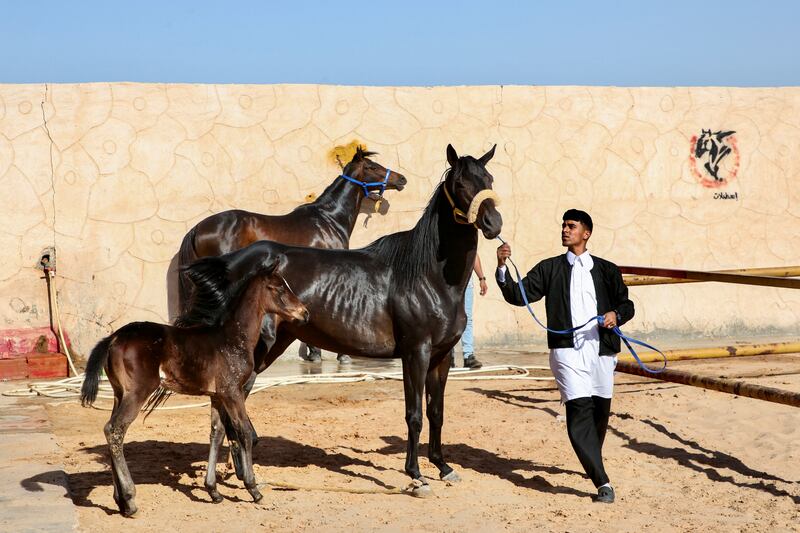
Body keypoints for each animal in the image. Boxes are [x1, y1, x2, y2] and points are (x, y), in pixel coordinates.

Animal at [80, 255, 306, 516]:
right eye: (279, 288)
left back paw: (120, 501)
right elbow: (244, 432)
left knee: (112, 431)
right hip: (137, 393)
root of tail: (113, 338)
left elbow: (217, 433)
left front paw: (214, 491)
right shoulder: (233, 392)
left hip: (120, 393)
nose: (305, 313)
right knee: (115, 430)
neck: (232, 338)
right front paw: (253, 489)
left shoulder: (217, 396)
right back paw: (129, 499)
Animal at [211, 142, 500, 494]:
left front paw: (443, 467)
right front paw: (416, 475)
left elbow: (436, 412)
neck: (428, 275)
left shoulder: (441, 356)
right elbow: (414, 414)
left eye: (489, 179)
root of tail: (233, 261)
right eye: (460, 184)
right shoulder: (415, 353)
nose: (493, 223)